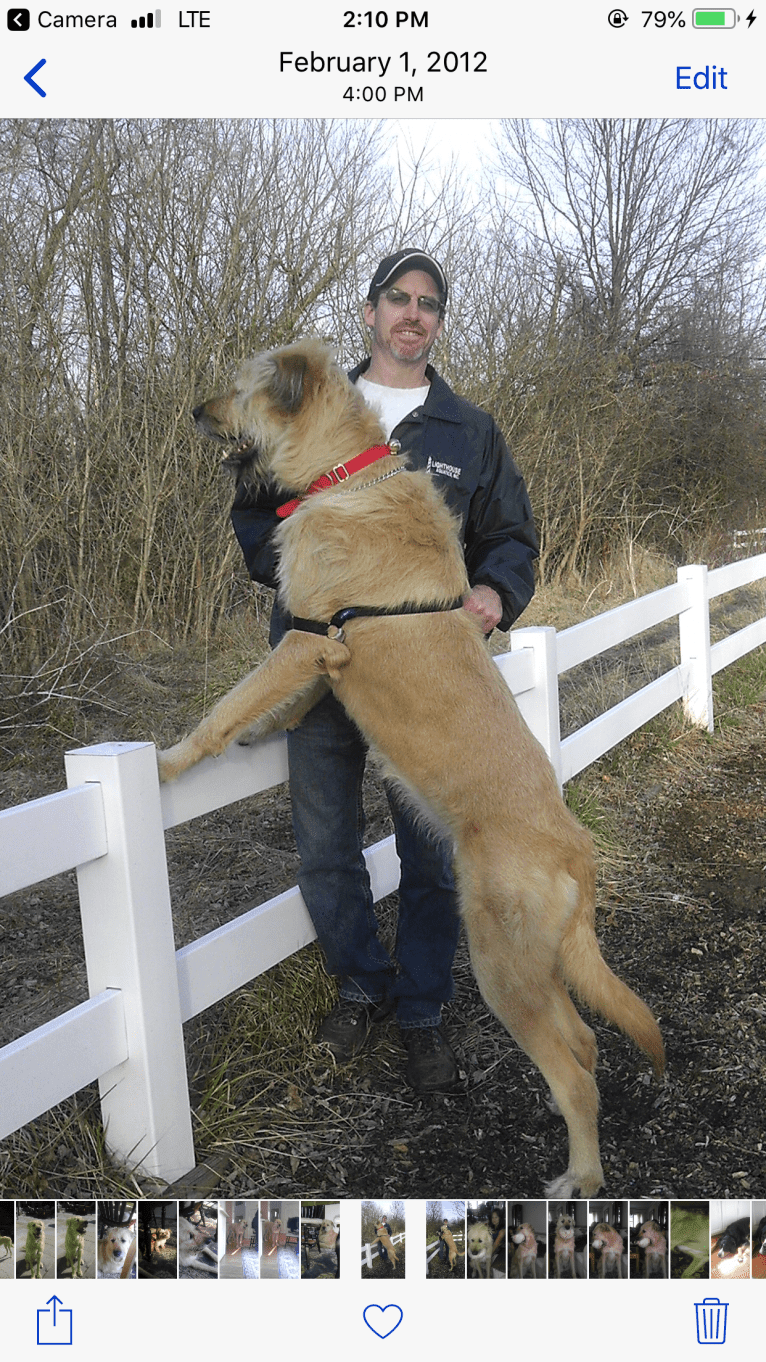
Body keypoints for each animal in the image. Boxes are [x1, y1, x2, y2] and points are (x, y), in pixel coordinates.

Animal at [159, 337, 662, 1193]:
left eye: (241, 388)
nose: (194, 410)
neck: (343, 473)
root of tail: (577, 851)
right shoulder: (317, 656)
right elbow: (280, 705)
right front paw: (265, 734)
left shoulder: (305, 639)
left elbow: (225, 707)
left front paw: (169, 764)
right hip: (539, 964)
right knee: (587, 1042)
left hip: (499, 966)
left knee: (574, 1070)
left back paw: (581, 1178)